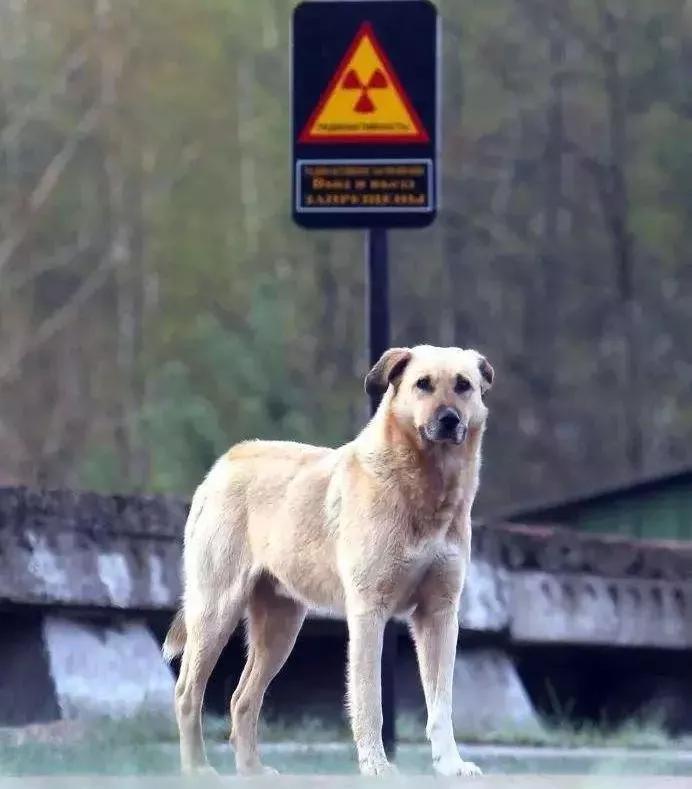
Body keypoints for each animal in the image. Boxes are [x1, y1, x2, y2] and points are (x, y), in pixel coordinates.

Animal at [165, 344, 494, 776]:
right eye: (422, 384)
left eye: (463, 385)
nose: (449, 420)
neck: (422, 488)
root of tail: (225, 462)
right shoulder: (369, 613)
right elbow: (370, 700)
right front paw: (376, 767)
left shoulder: (439, 615)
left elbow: (441, 704)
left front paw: (450, 765)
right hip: (215, 611)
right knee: (188, 692)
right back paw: (198, 769)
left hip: (280, 628)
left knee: (242, 699)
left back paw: (252, 771)